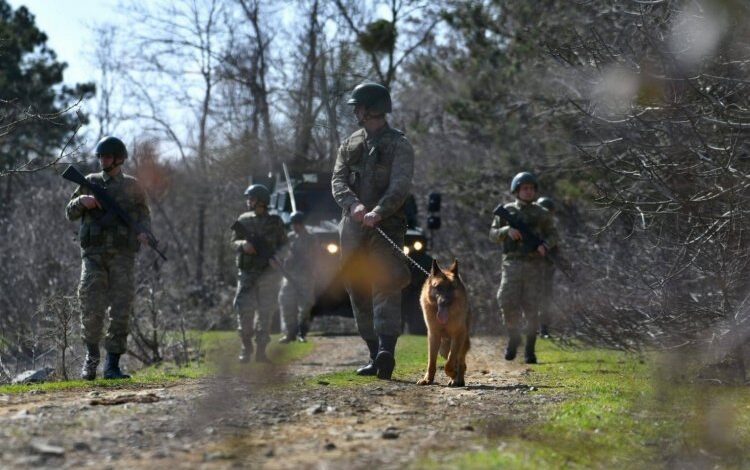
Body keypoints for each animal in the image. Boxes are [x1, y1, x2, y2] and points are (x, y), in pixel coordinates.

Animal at [418, 258, 470, 388]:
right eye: (438, 287)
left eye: (452, 288)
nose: (444, 302)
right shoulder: (433, 336)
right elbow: (431, 362)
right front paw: (428, 379)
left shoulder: (458, 336)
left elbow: (449, 363)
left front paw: (453, 373)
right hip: (443, 348)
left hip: (461, 343)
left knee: (461, 363)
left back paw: (458, 379)